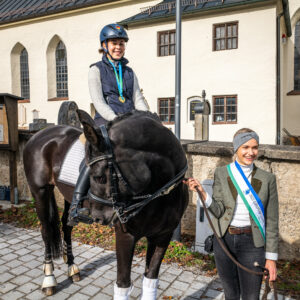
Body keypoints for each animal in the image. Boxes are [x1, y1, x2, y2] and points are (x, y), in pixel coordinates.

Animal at [24, 109, 188, 298]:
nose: (98, 218)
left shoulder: (162, 236)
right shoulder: (126, 236)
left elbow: (151, 279)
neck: (161, 194)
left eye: (99, 177)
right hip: (40, 191)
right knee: (46, 231)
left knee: (66, 225)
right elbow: (123, 284)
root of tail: (39, 134)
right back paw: (49, 279)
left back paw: (72, 268)